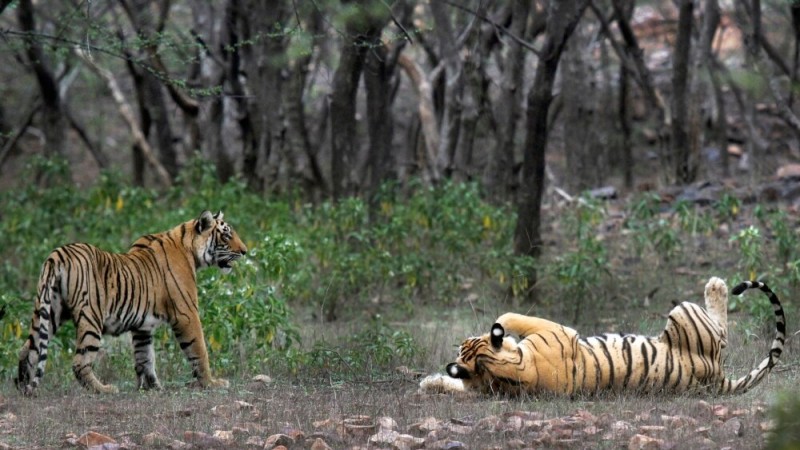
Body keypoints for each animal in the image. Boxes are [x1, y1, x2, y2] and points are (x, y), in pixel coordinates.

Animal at [16, 211, 247, 394]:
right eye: (227, 234)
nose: (245, 251)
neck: (189, 249)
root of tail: (58, 254)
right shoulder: (186, 313)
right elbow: (199, 350)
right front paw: (211, 383)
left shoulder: (142, 326)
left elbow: (145, 357)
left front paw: (152, 387)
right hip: (90, 317)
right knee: (80, 362)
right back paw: (104, 389)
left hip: (49, 311)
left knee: (28, 348)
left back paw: (22, 386)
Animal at [424, 278, 788, 398]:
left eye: (464, 343)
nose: (464, 337)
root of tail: (717, 378)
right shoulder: (556, 330)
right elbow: (510, 318)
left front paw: (429, 382)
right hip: (683, 312)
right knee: (723, 332)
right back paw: (717, 285)